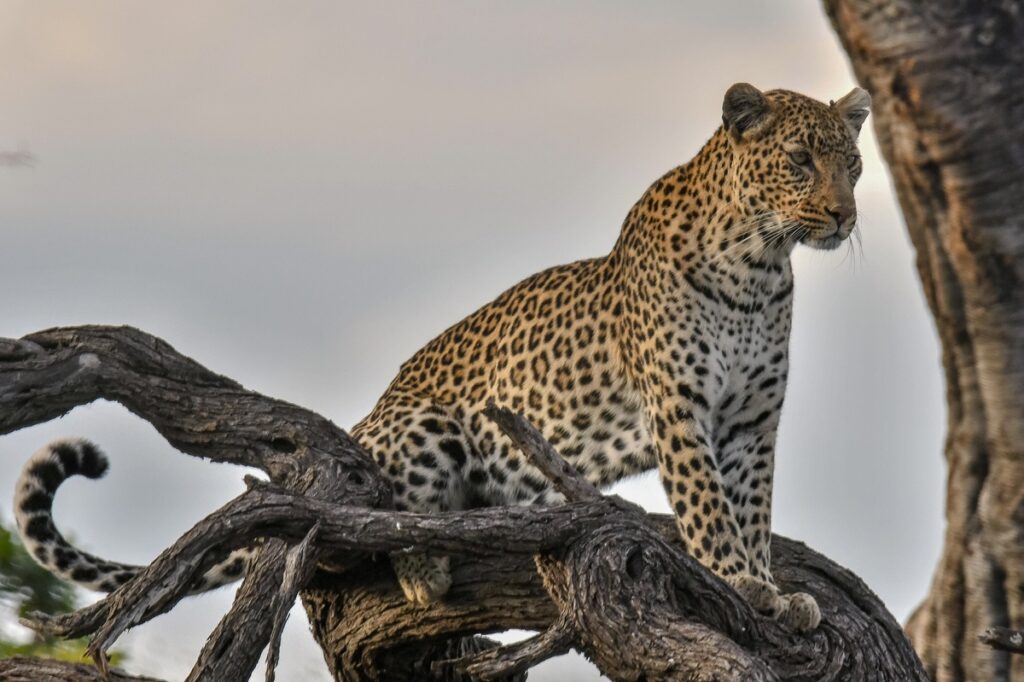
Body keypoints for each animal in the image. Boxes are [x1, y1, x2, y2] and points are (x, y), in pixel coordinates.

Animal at [14, 83, 870, 633]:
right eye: (800, 159)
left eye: (853, 164)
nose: (843, 215)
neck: (759, 264)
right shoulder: (681, 409)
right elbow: (711, 511)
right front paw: (741, 584)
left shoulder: (752, 421)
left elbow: (752, 507)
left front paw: (773, 586)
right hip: (425, 427)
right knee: (378, 521)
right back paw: (426, 566)